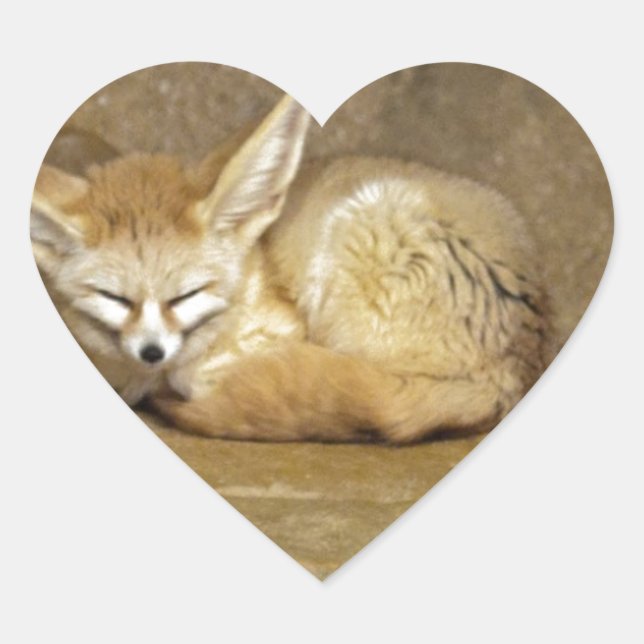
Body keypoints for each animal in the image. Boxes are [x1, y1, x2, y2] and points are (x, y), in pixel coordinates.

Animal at [31, 94, 548, 443]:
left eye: (188, 295)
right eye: (114, 298)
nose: (151, 352)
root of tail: (514, 368)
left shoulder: (280, 330)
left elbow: (199, 376)